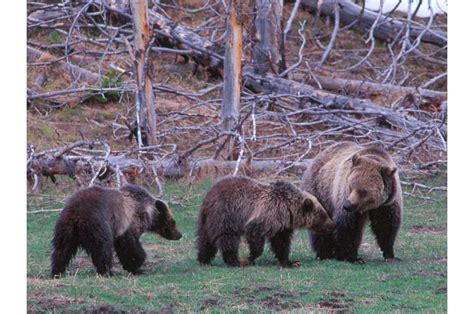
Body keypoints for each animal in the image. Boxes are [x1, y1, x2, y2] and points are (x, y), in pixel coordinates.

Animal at [51, 184, 181, 278]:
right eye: (173, 222)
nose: (179, 235)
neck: (148, 212)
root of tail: (77, 214)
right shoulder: (129, 224)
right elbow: (129, 246)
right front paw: (137, 265)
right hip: (98, 225)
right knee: (102, 249)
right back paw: (108, 272)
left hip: (65, 228)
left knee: (62, 249)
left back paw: (57, 271)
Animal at [194, 177, 336, 268]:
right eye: (323, 215)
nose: (332, 225)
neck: (288, 209)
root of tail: (208, 197)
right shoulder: (267, 215)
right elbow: (255, 236)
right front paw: (250, 258)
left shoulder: (282, 226)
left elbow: (281, 243)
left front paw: (290, 262)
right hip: (226, 214)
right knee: (227, 238)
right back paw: (234, 261)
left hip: (206, 220)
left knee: (205, 239)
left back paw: (203, 259)